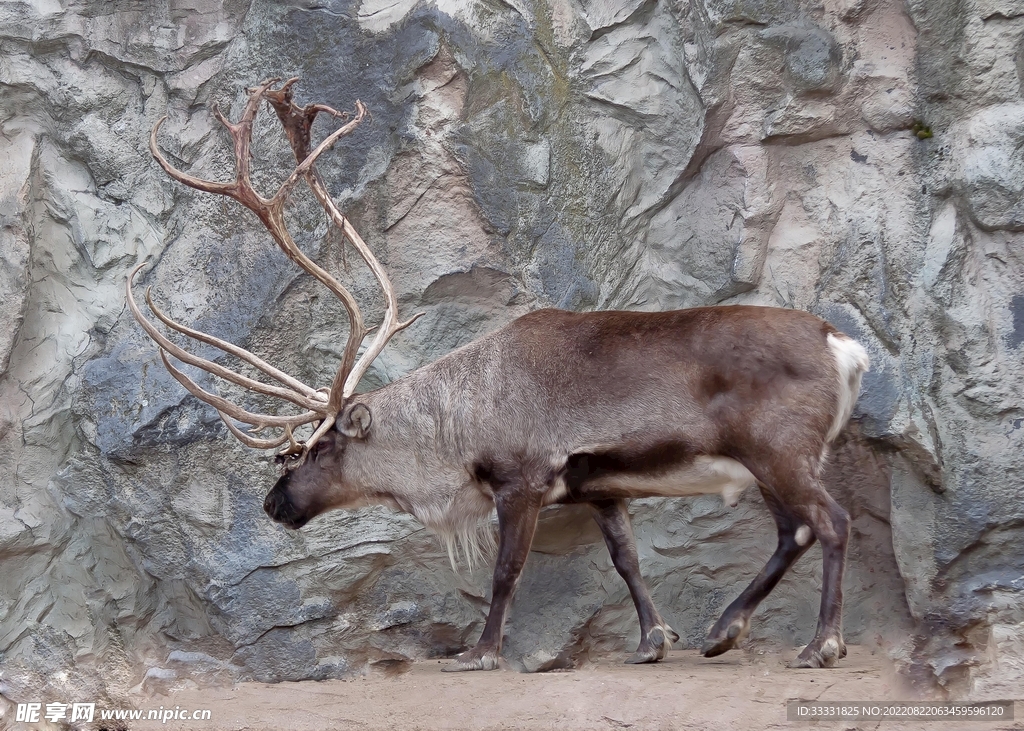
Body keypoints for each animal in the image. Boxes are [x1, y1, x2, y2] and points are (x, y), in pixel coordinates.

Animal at [128, 78, 870, 673]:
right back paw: (723, 630)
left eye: (321, 447)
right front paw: (653, 638)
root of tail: (844, 347)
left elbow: (506, 571)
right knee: (796, 531)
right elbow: (627, 560)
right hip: (769, 461)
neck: (458, 424)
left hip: (780, 450)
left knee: (831, 522)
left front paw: (481, 651)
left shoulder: (523, 478)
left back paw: (820, 645)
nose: (274, 503)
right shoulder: (601, 487)